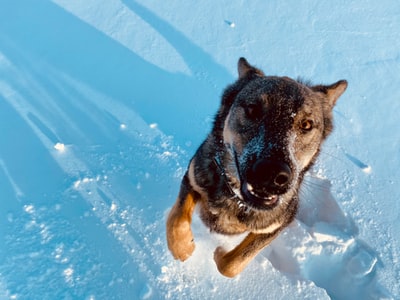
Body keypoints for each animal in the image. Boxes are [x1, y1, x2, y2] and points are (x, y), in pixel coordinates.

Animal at [166, 57, 346, 278]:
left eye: (306, 124)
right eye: (252, 110)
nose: (272, 173)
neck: (237, 201)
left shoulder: (279, 222)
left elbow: (232, 264)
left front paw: (220, 252)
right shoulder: (194, 176)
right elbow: (177, 220)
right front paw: (184, 248)